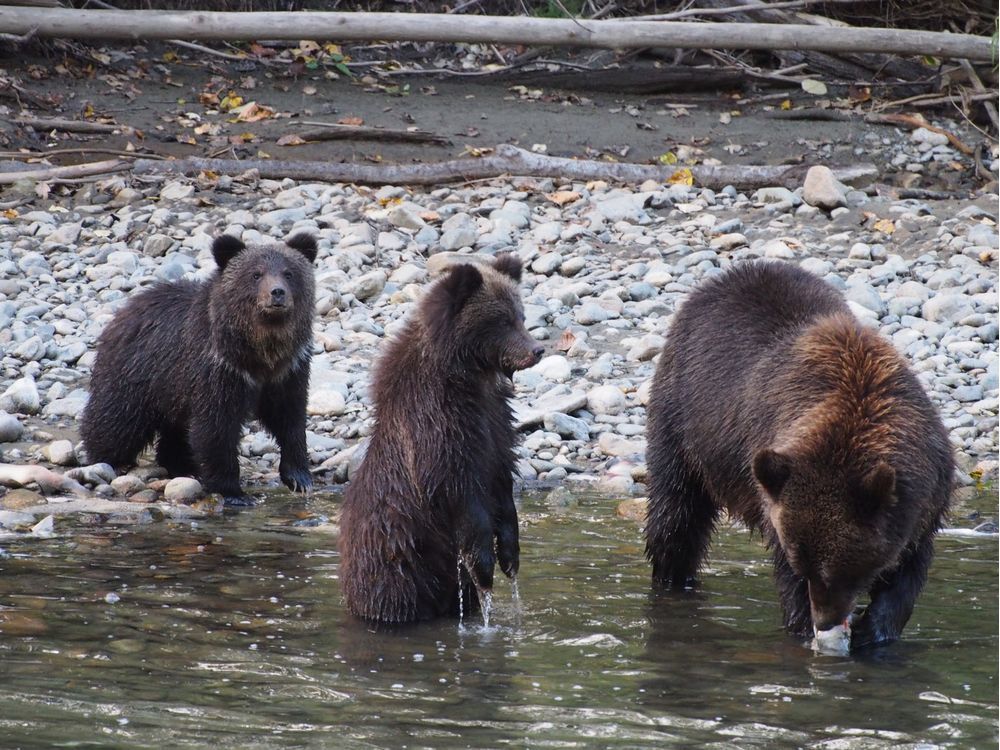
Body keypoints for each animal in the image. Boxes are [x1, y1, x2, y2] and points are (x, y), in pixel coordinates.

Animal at [81, 232, 316, 508]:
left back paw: (181, 466)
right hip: (135, 374)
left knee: (175, 430)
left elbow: (290, 419)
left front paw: (300, 478)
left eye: (289, 273)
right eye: (256, 274)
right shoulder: (218, 369)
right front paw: (234, 491)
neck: (260, 352)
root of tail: (122, 312)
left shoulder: (289, 370)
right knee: (116, 421)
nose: (277, 293)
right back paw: (108, 461)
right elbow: (216, 427)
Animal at [342, 256, 548, 624]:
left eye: (521, 315)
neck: (469, 373)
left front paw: (510, 555)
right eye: (502, 320)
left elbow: (502, 479)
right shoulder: (439, 424)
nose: (537, 349)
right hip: (399, 562)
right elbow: (458, 490)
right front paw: (484, 566)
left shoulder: (494, 420)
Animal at [648, 262, 952, 648]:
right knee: (675, 513)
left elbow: (908, 573)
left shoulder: (925, 499)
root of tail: (730, 273)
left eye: (843, 571)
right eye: (805, 567)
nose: (825, 620)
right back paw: (672, 580)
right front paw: (803, 627)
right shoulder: (775, 494)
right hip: (682, 420)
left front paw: (874, 630)